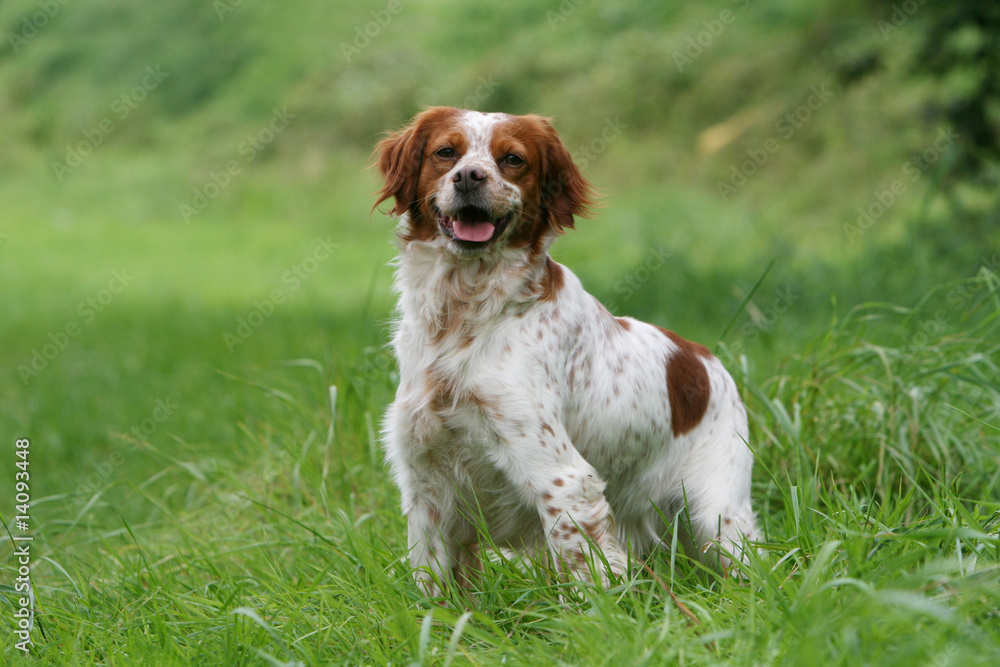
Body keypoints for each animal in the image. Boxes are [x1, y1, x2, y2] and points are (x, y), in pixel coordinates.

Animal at [376, 108, 756, 596]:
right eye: (446, 152)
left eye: (512, 159)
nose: (469, 177)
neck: (464, 316)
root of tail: (707, 360)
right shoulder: (426, 484)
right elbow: (432, 586)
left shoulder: (563, 479)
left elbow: (588, 577)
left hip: (718, 519)